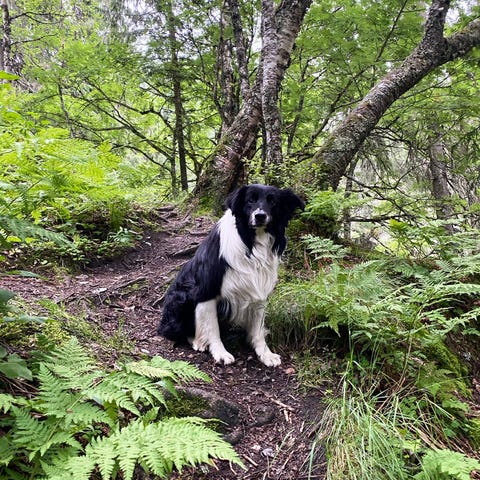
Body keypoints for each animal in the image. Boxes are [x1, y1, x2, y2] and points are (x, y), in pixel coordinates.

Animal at [157, 184, 304, 366]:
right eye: (250, 200)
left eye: (273, 202)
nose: (260, 216)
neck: (252, 244)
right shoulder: (206, 292)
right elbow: (212, 328)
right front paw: (220, 353)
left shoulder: (259, 293)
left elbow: (258, 329)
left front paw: (265, 354)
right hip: (181, 298)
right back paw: (198, 341)